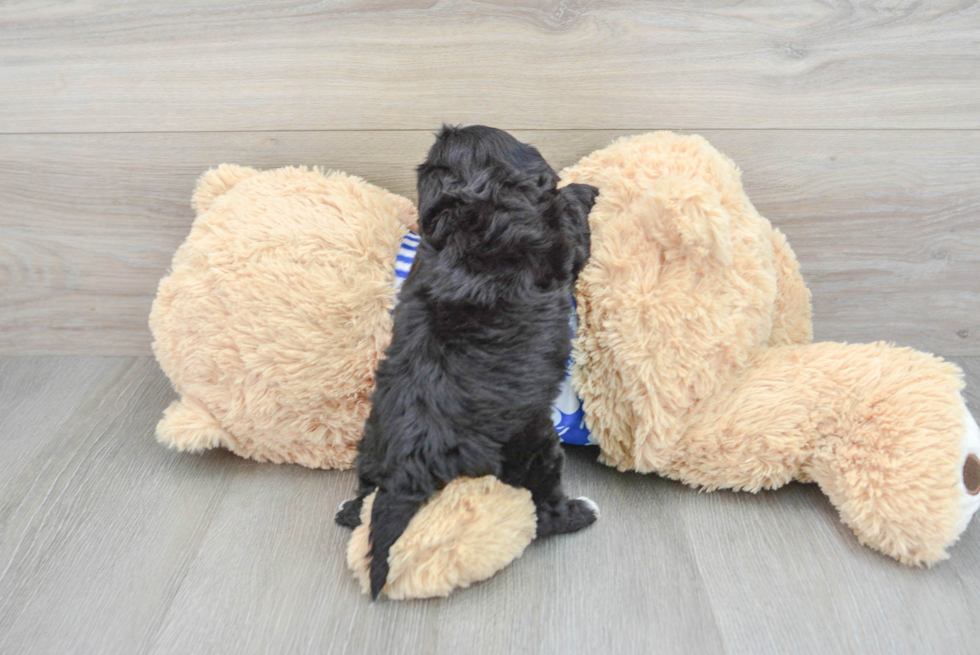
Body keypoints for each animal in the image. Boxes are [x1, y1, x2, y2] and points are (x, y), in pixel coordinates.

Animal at [334, 125, 596, 604]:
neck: (475, 209)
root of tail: (408, 461)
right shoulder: (563, 242)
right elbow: (569, 214)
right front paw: (582, 189)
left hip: (370, 442)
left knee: (361, 500)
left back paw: (350, 508)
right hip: (531, 447)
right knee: (544, 509)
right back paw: (580, 512)